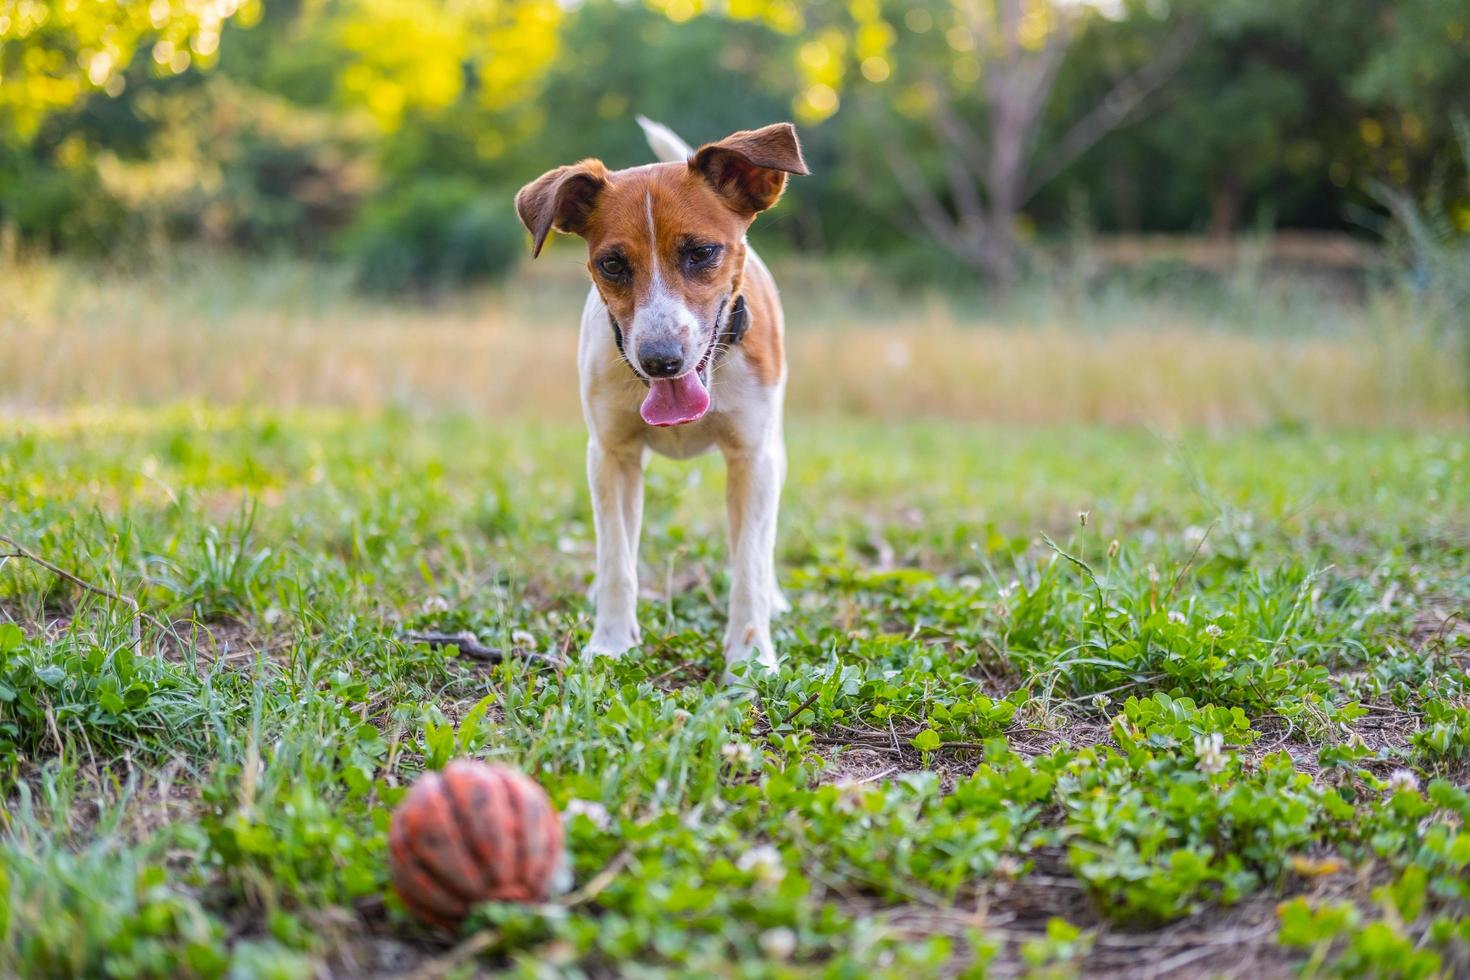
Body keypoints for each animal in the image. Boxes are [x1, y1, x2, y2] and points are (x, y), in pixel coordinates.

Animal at [517, 116, 811, 675]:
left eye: (701, 253)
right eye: (612, 264)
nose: (660, 360)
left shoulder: (753, 458)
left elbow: (749, 563)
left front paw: (749, 656)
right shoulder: (611, 455)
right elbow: (617, 559)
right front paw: (611, 641)